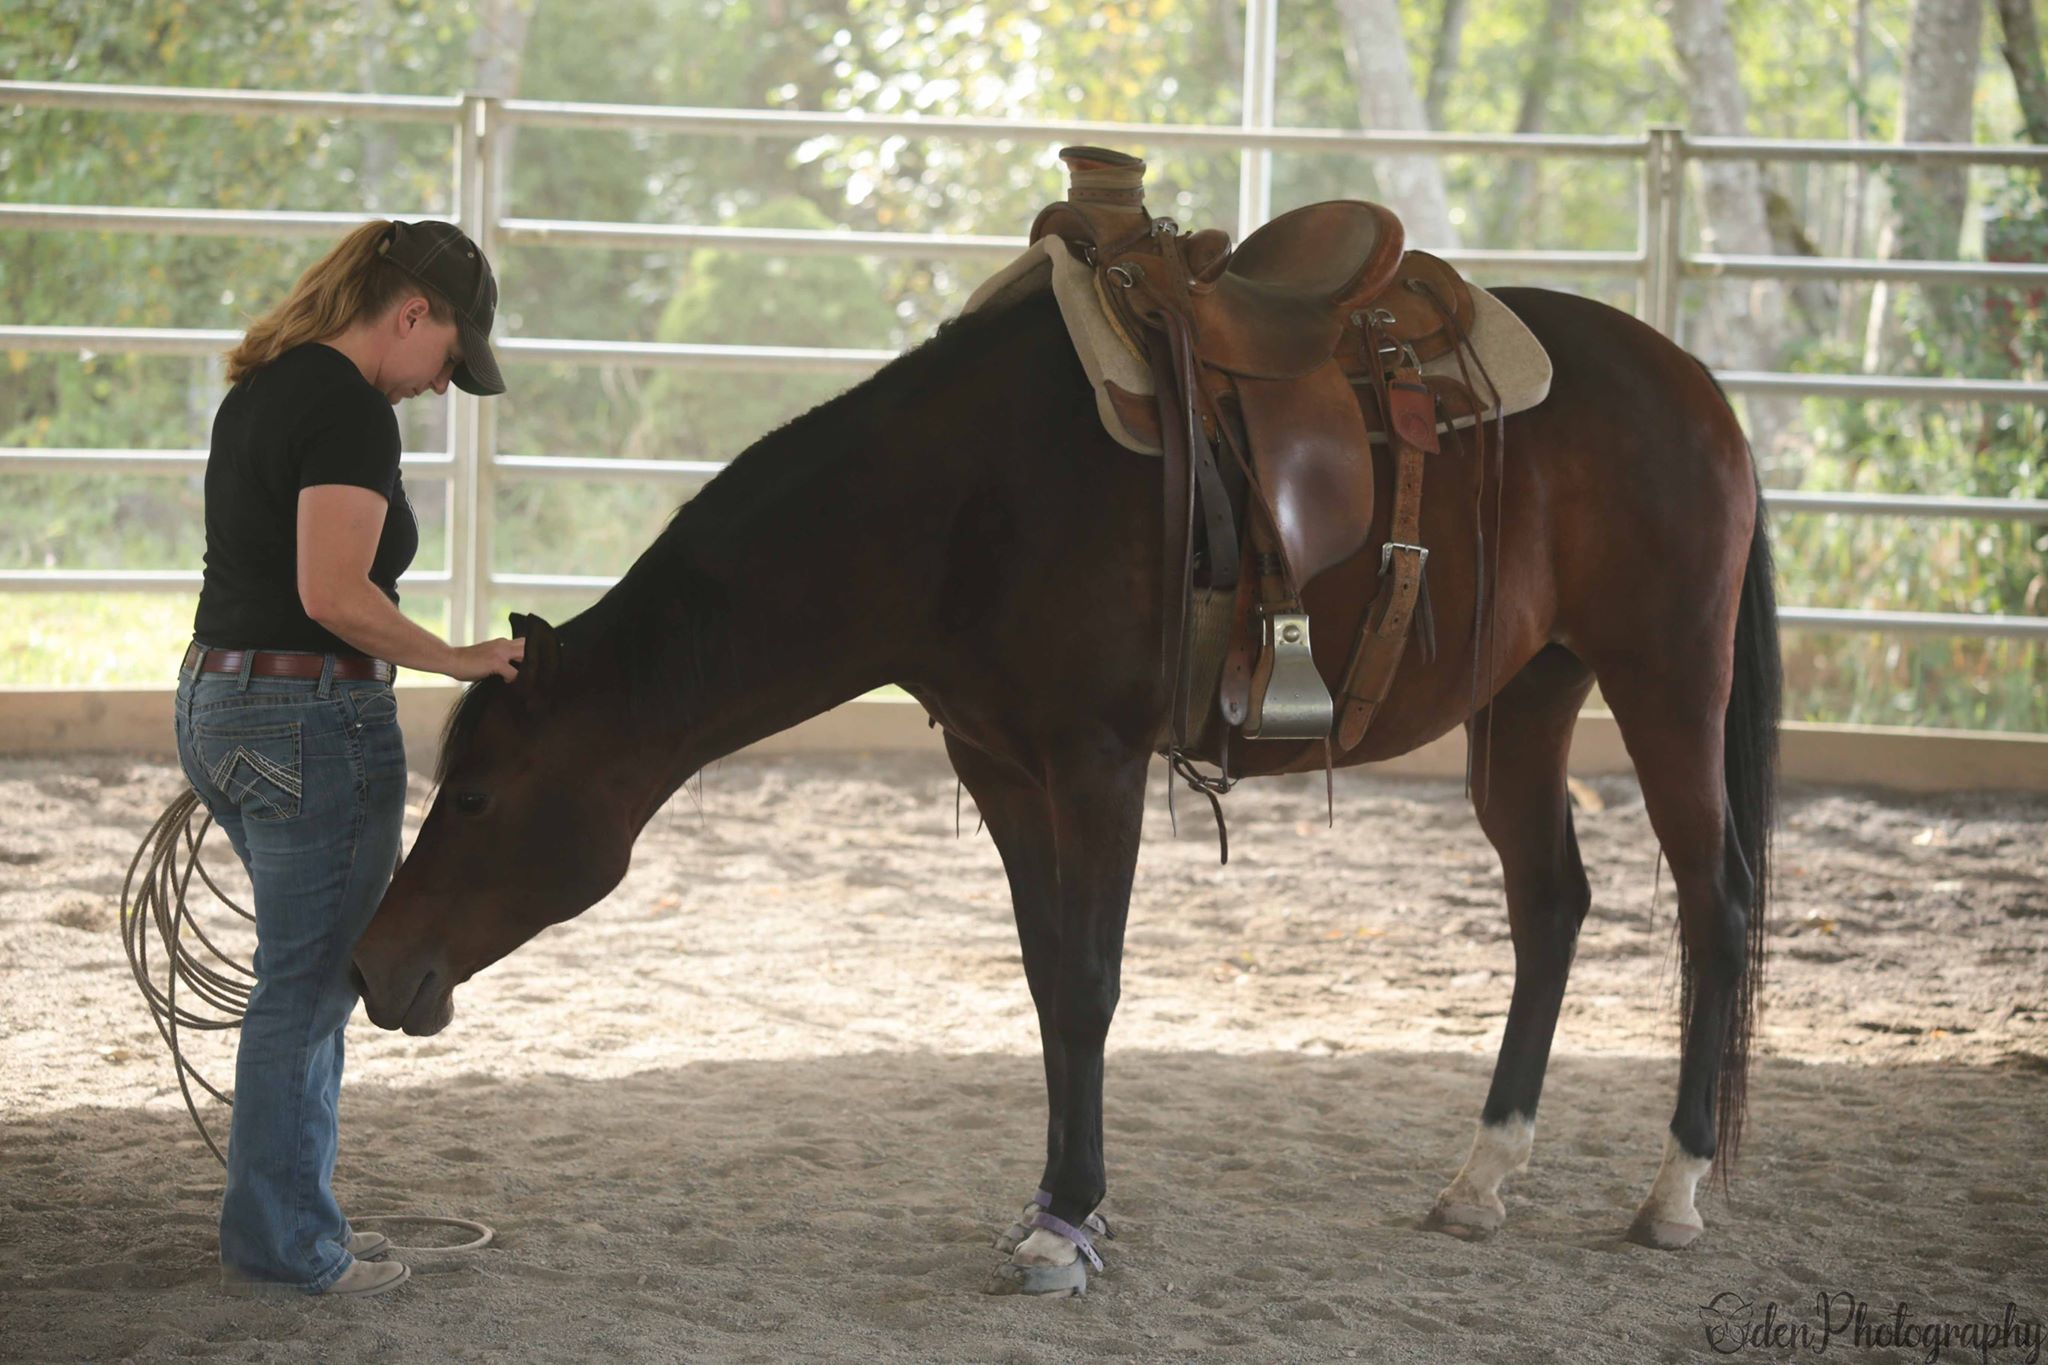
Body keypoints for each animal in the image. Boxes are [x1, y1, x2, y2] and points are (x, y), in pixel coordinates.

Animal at [348, 286, 1777, 1293]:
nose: (372, 965)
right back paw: (1479, 1179)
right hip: (1527, 694)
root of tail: (1692, 387)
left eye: (473, 796)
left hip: (1662, 677)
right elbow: (1046, 984)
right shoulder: (1000, 768)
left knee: (1714, 909)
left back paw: (1672, 1195)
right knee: (1550, 905)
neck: (962, 504)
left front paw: (1064, 1228)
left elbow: (1088, 983)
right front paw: (1050, 1202)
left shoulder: (1094, 763)